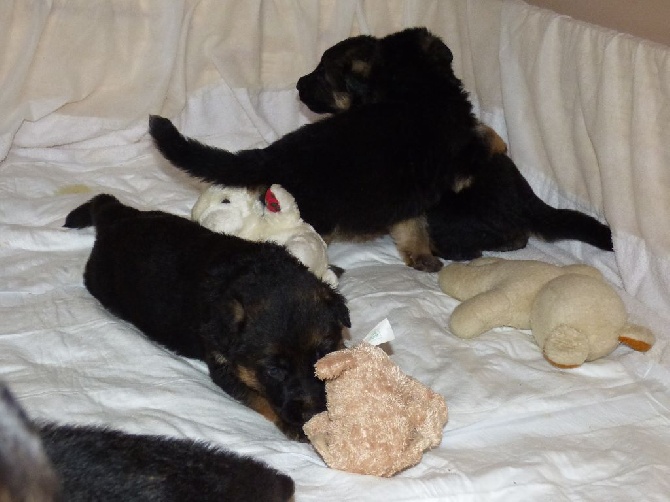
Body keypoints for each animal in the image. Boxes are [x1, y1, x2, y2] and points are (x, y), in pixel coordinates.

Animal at [63, 195, 352, 440]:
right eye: (273, 370)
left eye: (321, 355)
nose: (313, 412)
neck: (254, 274)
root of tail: (115, 217)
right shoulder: (225, 369)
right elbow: (260, 398)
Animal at [151, 26, 616, 270]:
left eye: (321, 78)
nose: (299, 85)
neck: (415, 87)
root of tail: (274, 155)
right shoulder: (455, 153)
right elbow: (481, 137)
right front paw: (498, 141)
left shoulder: (412, 194)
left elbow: (410, 225)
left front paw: (417, 255)